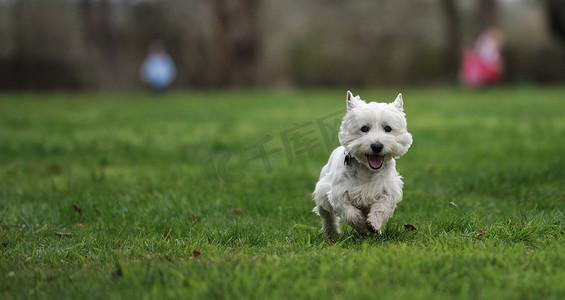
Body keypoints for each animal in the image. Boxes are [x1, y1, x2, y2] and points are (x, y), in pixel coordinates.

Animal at [310, 90, 412, 236]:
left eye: (388, 128)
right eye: (364, 128)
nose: (377, 146)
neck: (368, 170)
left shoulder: (388, 190)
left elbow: (382, 207)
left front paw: (374, 224)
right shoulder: (339, 193)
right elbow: (350, 213)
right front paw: (363, 227)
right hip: (322, 189)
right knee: (327, 215)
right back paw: (332, 233)